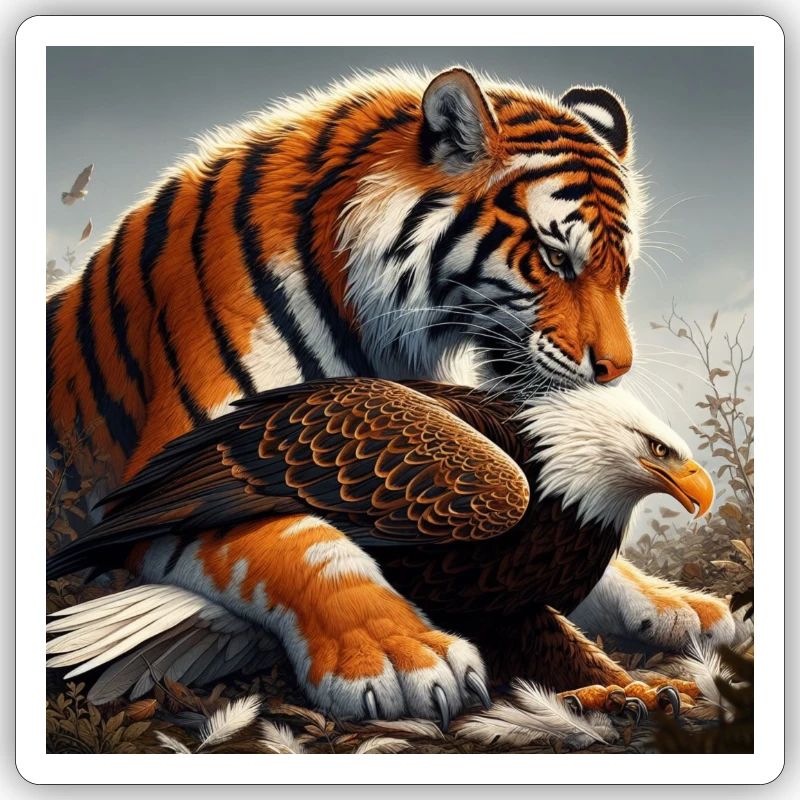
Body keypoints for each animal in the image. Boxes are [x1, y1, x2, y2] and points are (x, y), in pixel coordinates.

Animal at [46, 67, 733, 722]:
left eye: (623, 272)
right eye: (557, 257)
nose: (615, 369)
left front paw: (669, 613)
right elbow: (306, 545)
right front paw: (397, 652)